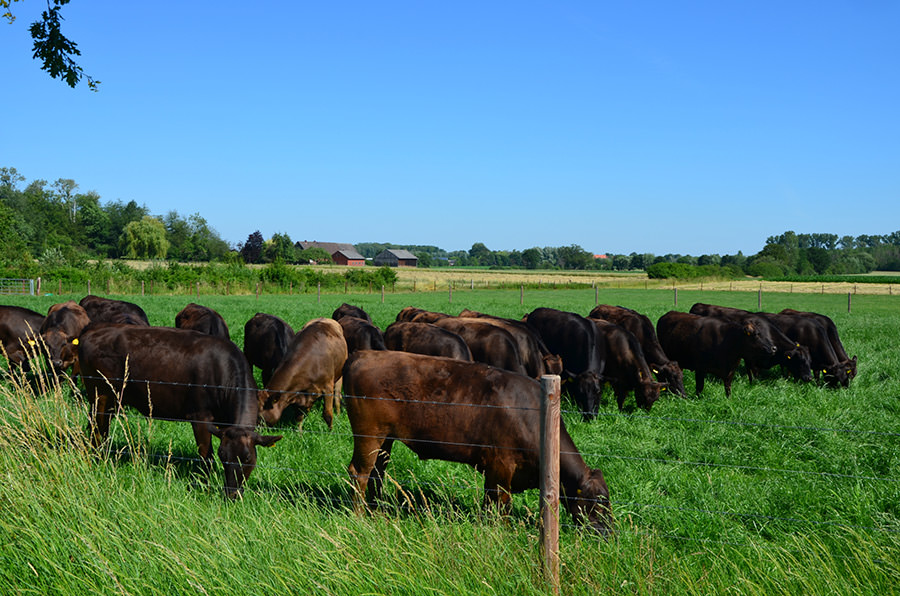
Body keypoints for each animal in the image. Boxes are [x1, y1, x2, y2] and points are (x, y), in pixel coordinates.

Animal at [76, 323, 282, 498]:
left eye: (247, 457)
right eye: (224, 456)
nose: (231, 494)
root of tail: (93, 330)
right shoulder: (199, 416)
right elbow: (206, 456)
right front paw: (204, 484)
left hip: (111, 399)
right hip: (100, 393)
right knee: (97, 429)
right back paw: (97, 459)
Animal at [342, 350, 613, 536]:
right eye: (599, 502)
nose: (609, 533)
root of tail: (362, 354)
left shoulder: (493, 471)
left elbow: (489, 503)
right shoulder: (502, 467)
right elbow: (501, 503)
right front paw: (502, 531)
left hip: (385, 439)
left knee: (377, 472)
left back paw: (377, 510)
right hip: (369, 435)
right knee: (360, 472)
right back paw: (360, 516)